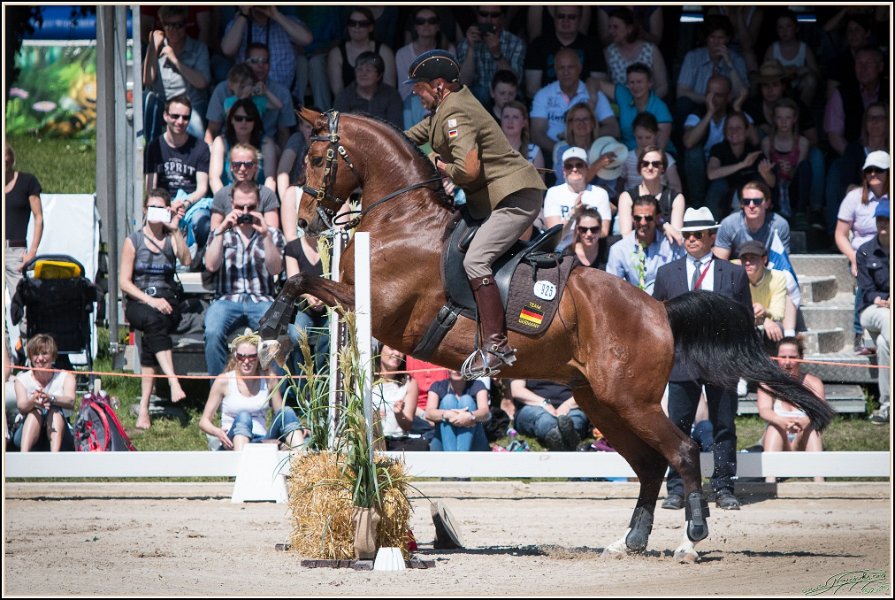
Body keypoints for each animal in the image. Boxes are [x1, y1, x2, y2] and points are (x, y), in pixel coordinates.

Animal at [259, 107, 835, 562]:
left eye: (317, 159)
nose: (305, 222)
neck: (402, 220)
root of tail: (659, 309)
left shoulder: (375, 308)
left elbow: (301, 278)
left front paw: (268, 330)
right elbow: (298, 281)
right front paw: (272, 333)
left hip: (632, 401)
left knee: (684, 452)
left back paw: (690, 539)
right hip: (604, 403)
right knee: (650, 466)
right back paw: (630, 540)